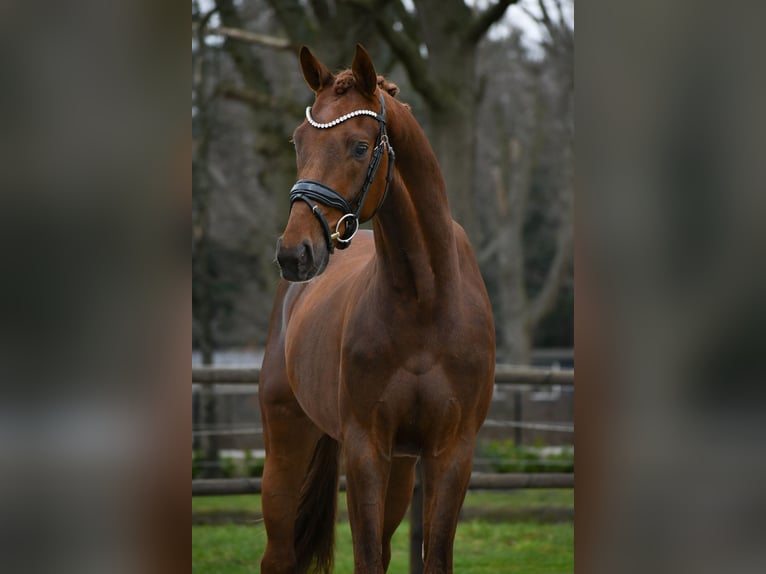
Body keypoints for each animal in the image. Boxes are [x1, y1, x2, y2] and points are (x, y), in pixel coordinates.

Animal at [259, 44, 495, 574]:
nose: (294, 254)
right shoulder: (365, 448)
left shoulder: (450, 453)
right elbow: (365, 556)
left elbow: (431, 556)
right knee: (278, 556)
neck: (425, 302)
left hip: (402, 469)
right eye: (298, 141)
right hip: (285, 444)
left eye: (359, 147)